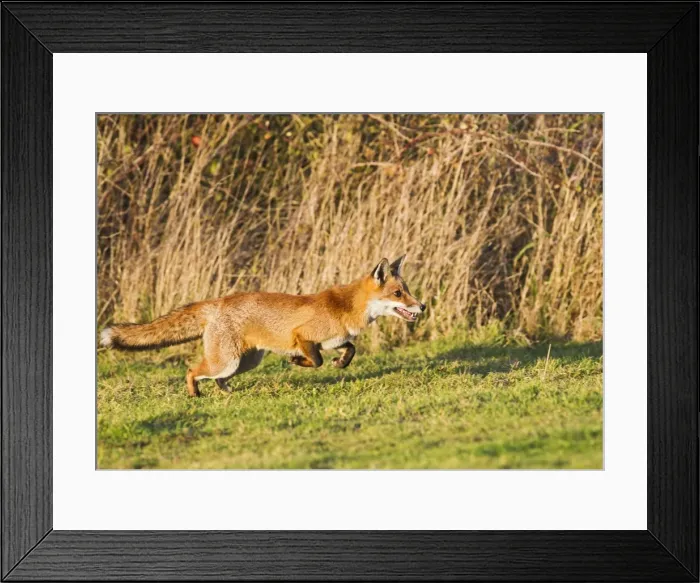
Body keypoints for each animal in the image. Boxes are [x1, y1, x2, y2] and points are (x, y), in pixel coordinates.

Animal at [100, 255, 425, 397]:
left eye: (407, 291)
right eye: (398, 294)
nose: (422, 306)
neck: (346, 308)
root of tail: (218, 301)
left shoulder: (334, 340)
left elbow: (350, 349)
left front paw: (341, 363)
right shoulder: (303, 336)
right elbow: (316, 360)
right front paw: (297, 362)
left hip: (244, 363)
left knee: (217, 379)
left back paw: (226, 394)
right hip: (226, 361)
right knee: (192, 371)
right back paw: (194, 395)